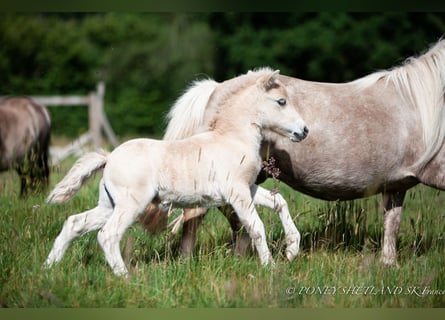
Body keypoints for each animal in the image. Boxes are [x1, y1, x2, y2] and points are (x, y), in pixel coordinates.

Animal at [45, 70, 308, 278]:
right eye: (281, 101)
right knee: (107, 235)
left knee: (74, 223)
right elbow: (256, 226)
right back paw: (125, 277)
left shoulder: (248, 188)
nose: (304, 131)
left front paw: (292, 249)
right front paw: (270, 266)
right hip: (131, 205)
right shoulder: (237, 192)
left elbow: (279, 201)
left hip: (108, 204)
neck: (232, 137)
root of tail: (108, 158)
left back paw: (49, 267)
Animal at [140, 39, 445, 268]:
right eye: (281, 102)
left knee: (235, 222)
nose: (304, 130)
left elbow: (391, 224)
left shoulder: (396, 185)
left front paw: (388, 265)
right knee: (197, 217)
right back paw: (188, 263)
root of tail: (215, 87)